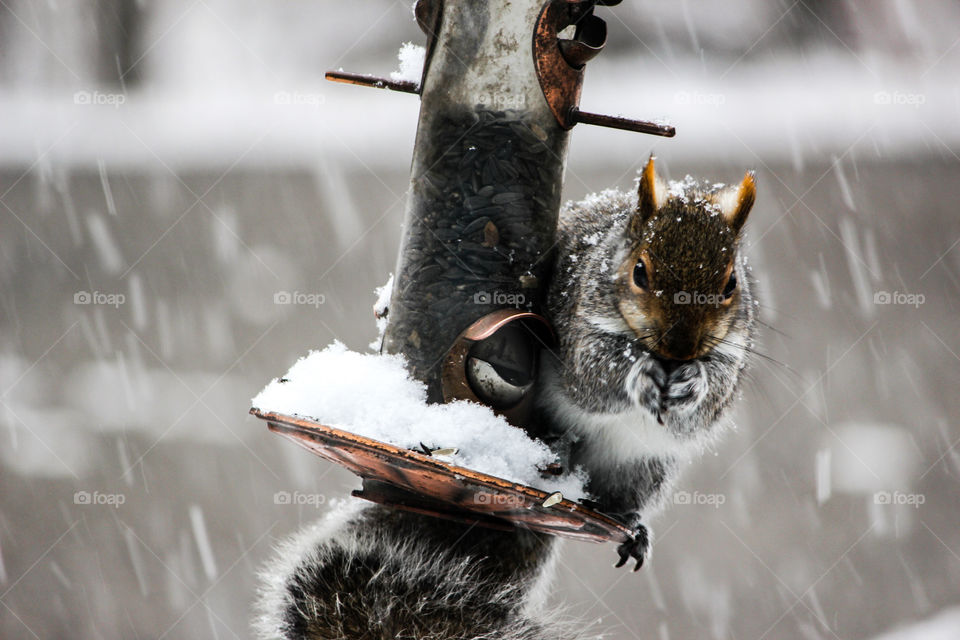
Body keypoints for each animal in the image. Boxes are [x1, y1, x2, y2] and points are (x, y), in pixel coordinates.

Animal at [535, 156, 758, 570]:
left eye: (731, 284)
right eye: (639, 271)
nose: (680, 348)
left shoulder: (732, 353)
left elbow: (714, 394)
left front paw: (695, 383)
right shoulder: (576, 326)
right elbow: (589, 375)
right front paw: (640, 376)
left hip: (642, 468)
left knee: (615, 503)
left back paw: (631, 526)